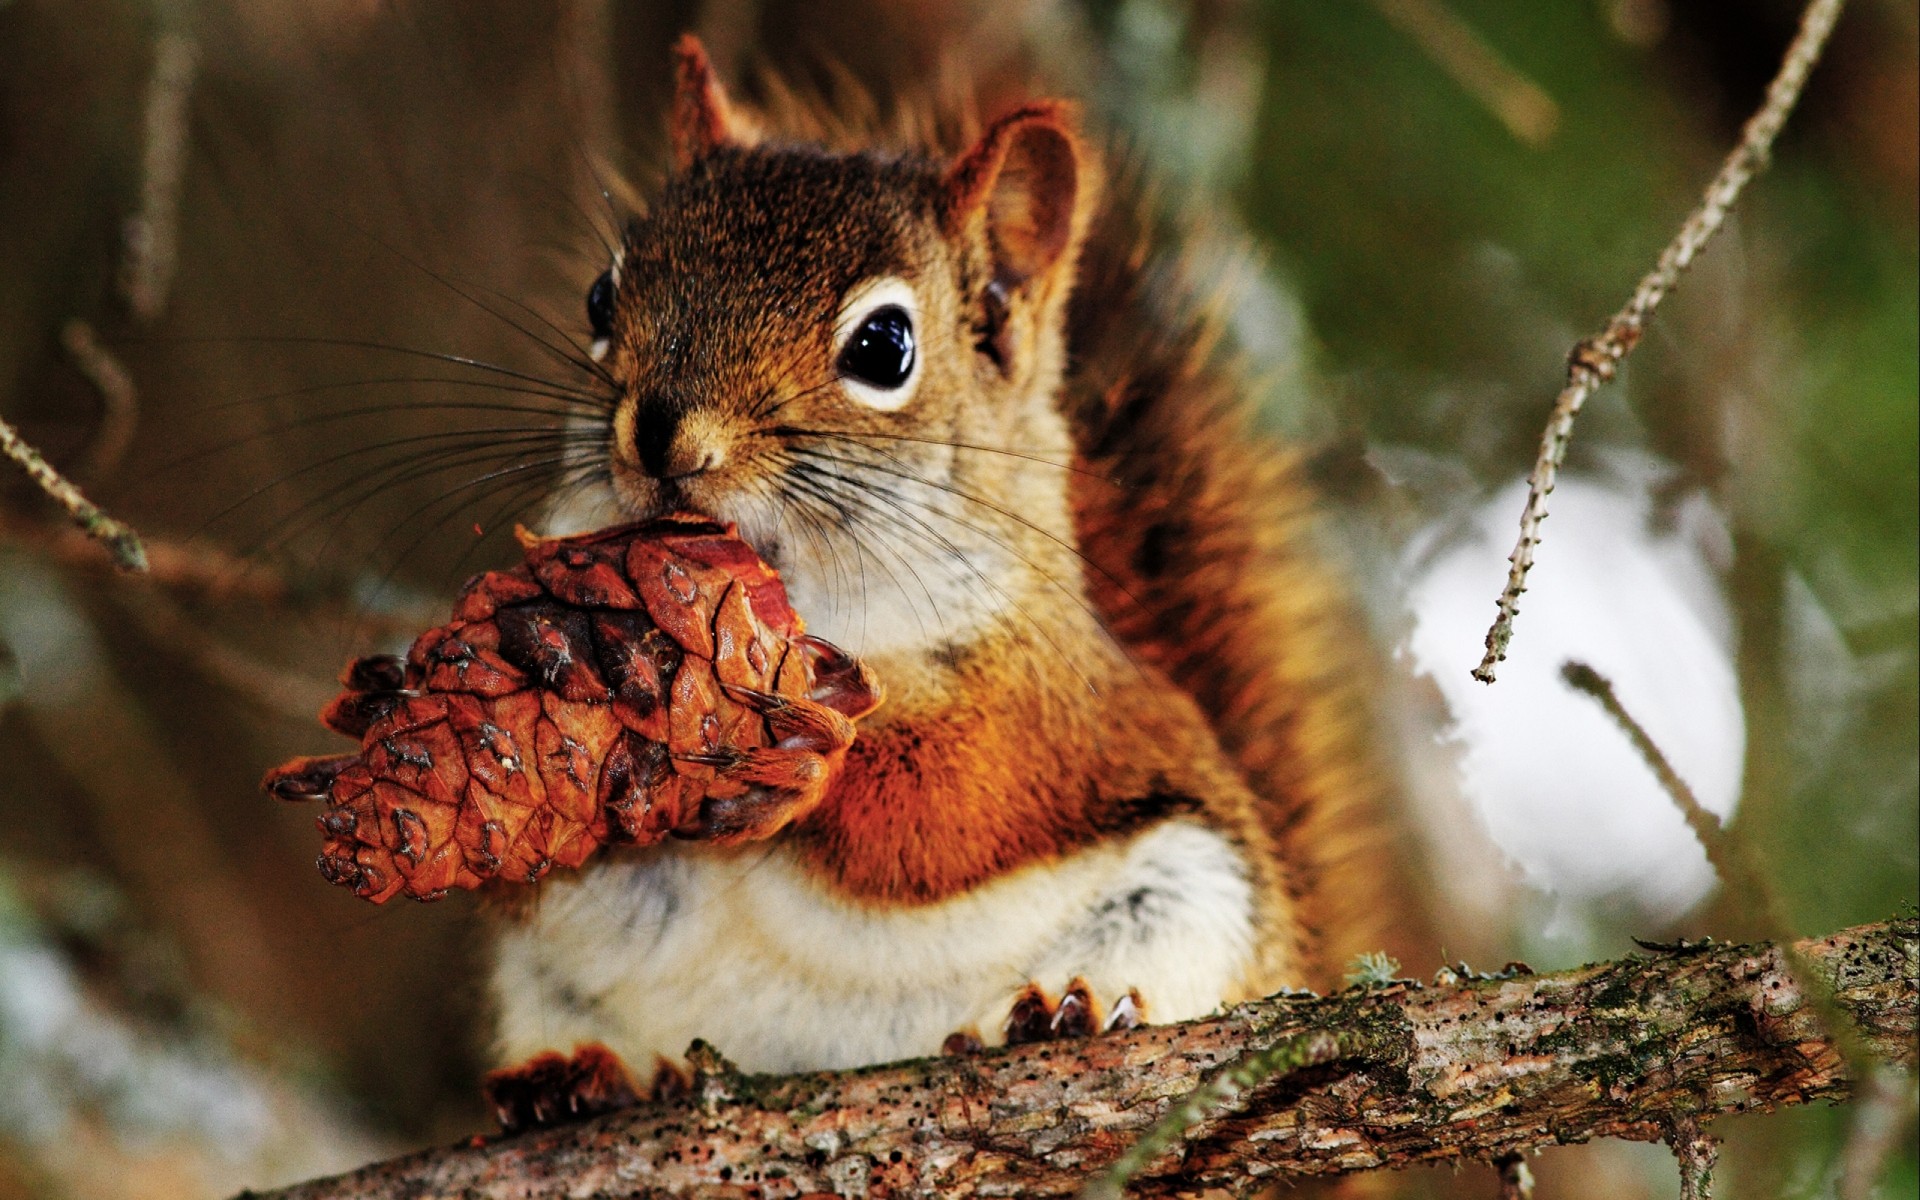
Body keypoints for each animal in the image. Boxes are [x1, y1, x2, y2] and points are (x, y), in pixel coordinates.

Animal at [483, 35, 1413, 1121]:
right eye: (601, 296)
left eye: (885, 347)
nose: (664, 434)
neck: (809, 610)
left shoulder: (1039, 709)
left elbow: (944, 809)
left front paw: (812, 754)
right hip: (544, 980)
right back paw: (582, 1075)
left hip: (1197, 896)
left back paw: (1065, 1008)